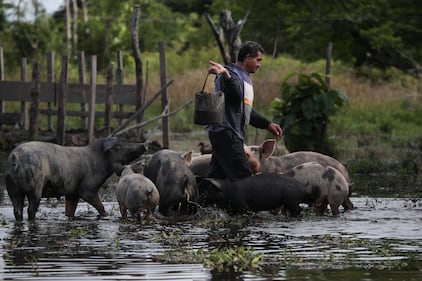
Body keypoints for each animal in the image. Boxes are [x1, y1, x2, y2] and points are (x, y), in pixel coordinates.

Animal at [4, 137, 147, 220]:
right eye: (120, 144)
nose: (144, 144)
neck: (100, 162)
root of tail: (15, 158)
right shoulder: (88, 188)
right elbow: (99, 205)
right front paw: (104, 215)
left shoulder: (72, 193)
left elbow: (70, 211)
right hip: (35, 186)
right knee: (30, 209)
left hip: (12, 188)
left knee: (17, 209)